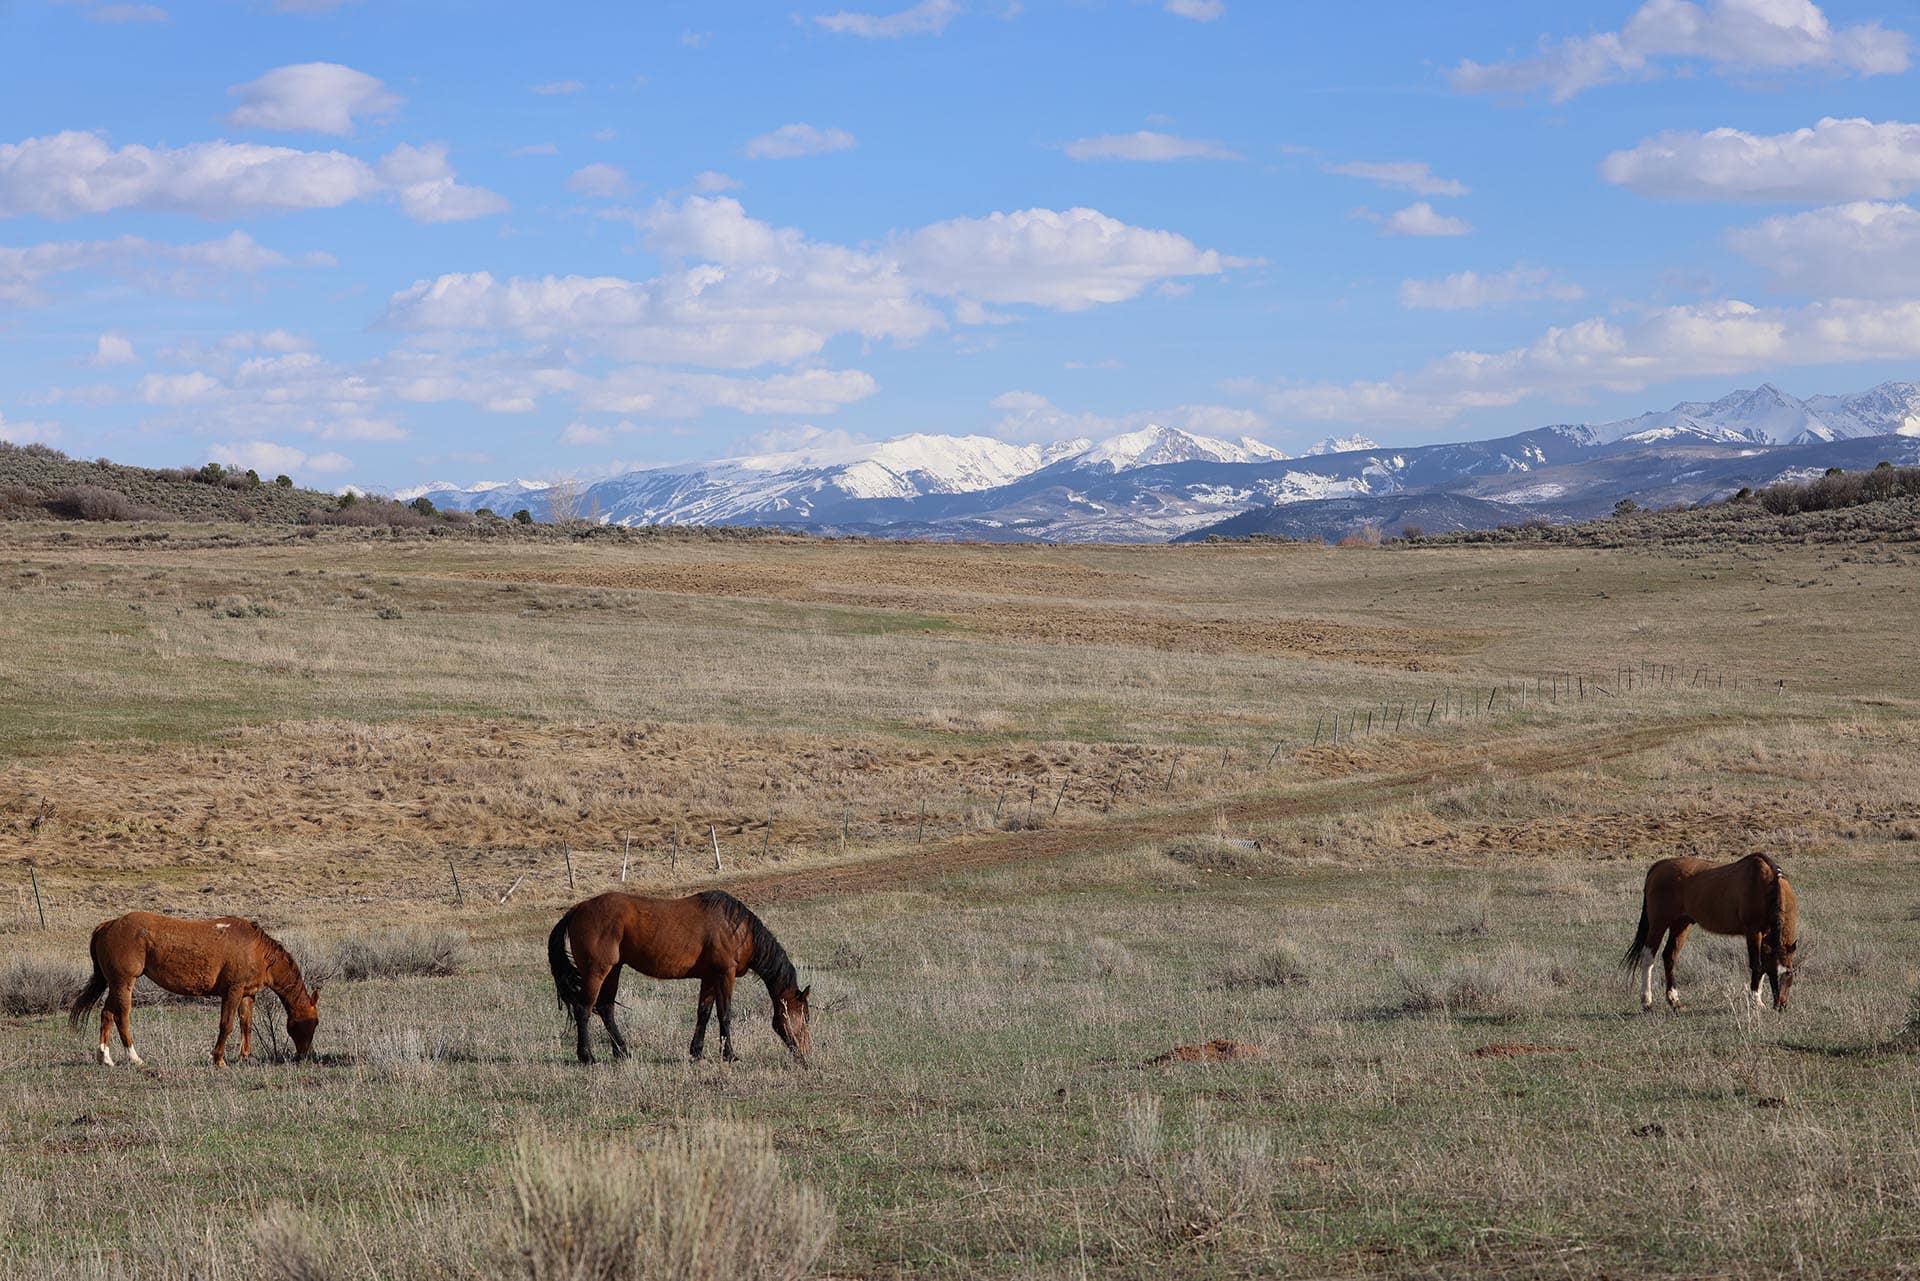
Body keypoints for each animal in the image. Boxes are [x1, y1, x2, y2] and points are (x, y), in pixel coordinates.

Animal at [69, 912, 321, 1066]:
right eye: (312, 1023)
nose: (305, 1055)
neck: (255, 949)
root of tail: (108, 925)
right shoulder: (233, 992)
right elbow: (227, 1025)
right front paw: (218, 1059)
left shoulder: (247, 995)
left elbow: (246, 1025)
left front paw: (246, 1057)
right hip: (124, 984)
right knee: (122, 1017)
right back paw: (135, 1058)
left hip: (115, 985)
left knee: (107, 1014)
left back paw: (105, 1058)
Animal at [547, 890, 811, 1067]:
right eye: (805, 1017)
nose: (806, 1054)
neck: (737, 928)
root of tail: (577, 909)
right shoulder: (725, 974)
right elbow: (724, 1014)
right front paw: (730, 1055)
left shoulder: (709, 977)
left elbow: (703, 1013)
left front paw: (697, 1052)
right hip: (597, 972)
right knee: (583, 1009)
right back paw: (587, 1056)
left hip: (614, 970)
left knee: (605, 1008)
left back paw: (622, 1052)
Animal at [1622, 853, 1798, 1012]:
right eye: (1773, 974)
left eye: (1789, 973)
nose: (1781, 1005)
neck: (1765, 886)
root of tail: (1660, 866)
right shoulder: (1753, 932)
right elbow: (1757, 965)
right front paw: (1756, 1001)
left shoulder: (1765, 935)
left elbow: (1761, 965)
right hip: (1659, 924)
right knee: (1648, 956)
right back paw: (1647, 1002)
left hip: (1681, 924)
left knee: (1669, 956)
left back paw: (1675, 1002)